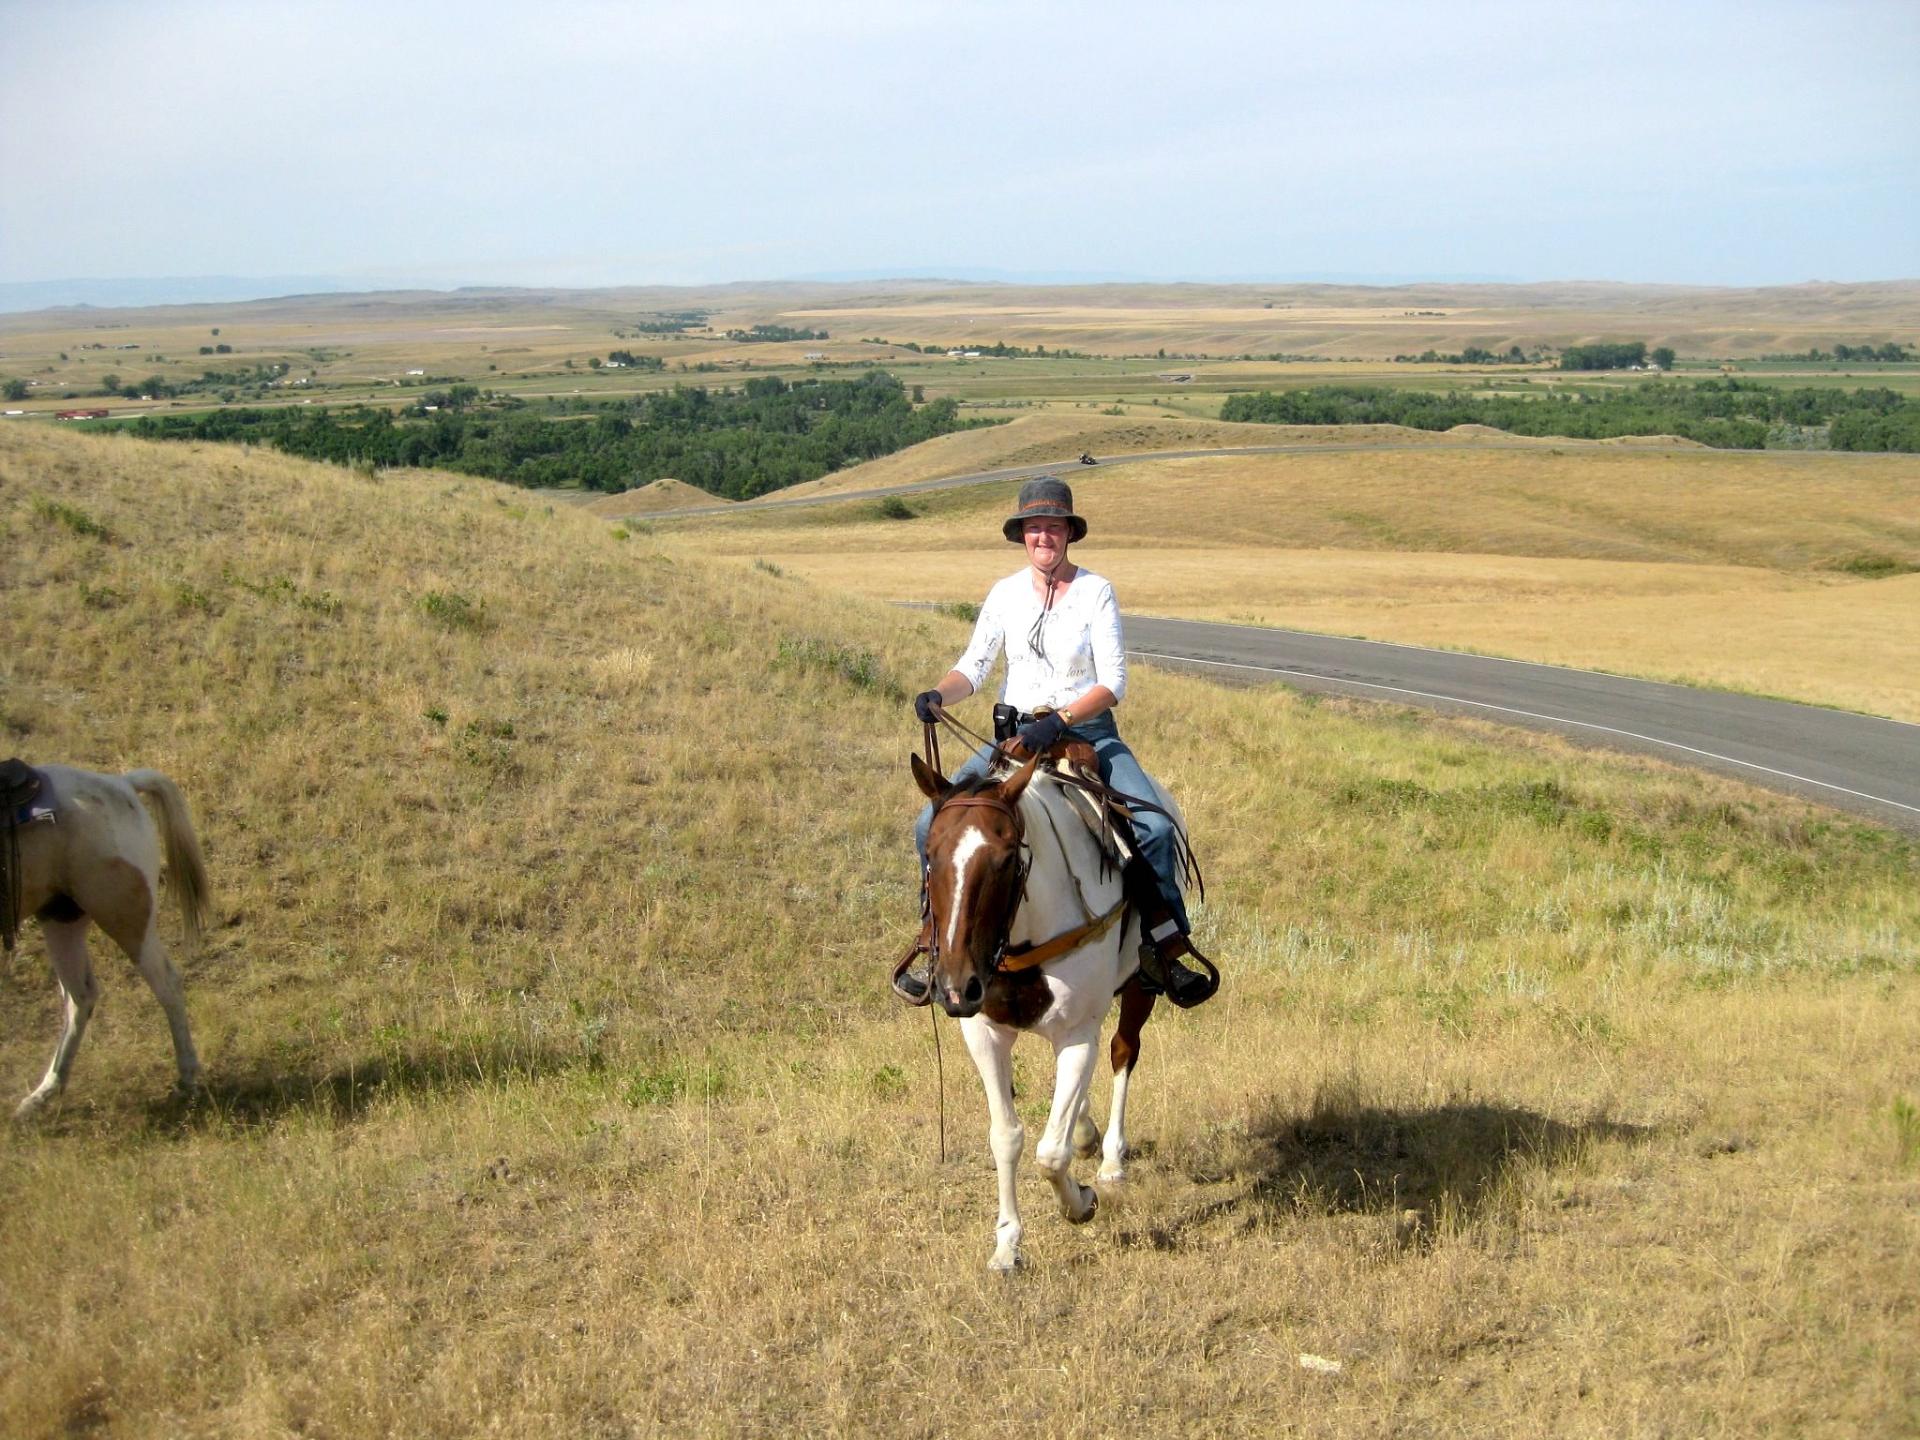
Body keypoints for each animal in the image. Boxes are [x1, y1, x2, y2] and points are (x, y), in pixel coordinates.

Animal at [7, 768, 210, 1113]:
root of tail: (122, 783)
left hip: (125, 917)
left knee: (166, 984)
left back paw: (186, 1079)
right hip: (61, 917)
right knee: (80, 998)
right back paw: (45, 1092)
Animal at [913, 756, 1167, 1274]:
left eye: (1007, 858)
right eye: (930, 853)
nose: (954, 986)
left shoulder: (1077, 1033)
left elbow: (1051, 1152)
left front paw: (1080, 1202)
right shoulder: (983, 1033)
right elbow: (1006, 1137)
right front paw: (1007, 1244)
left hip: (1138, 989)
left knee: (1122, 1052)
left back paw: (1111, 1160)